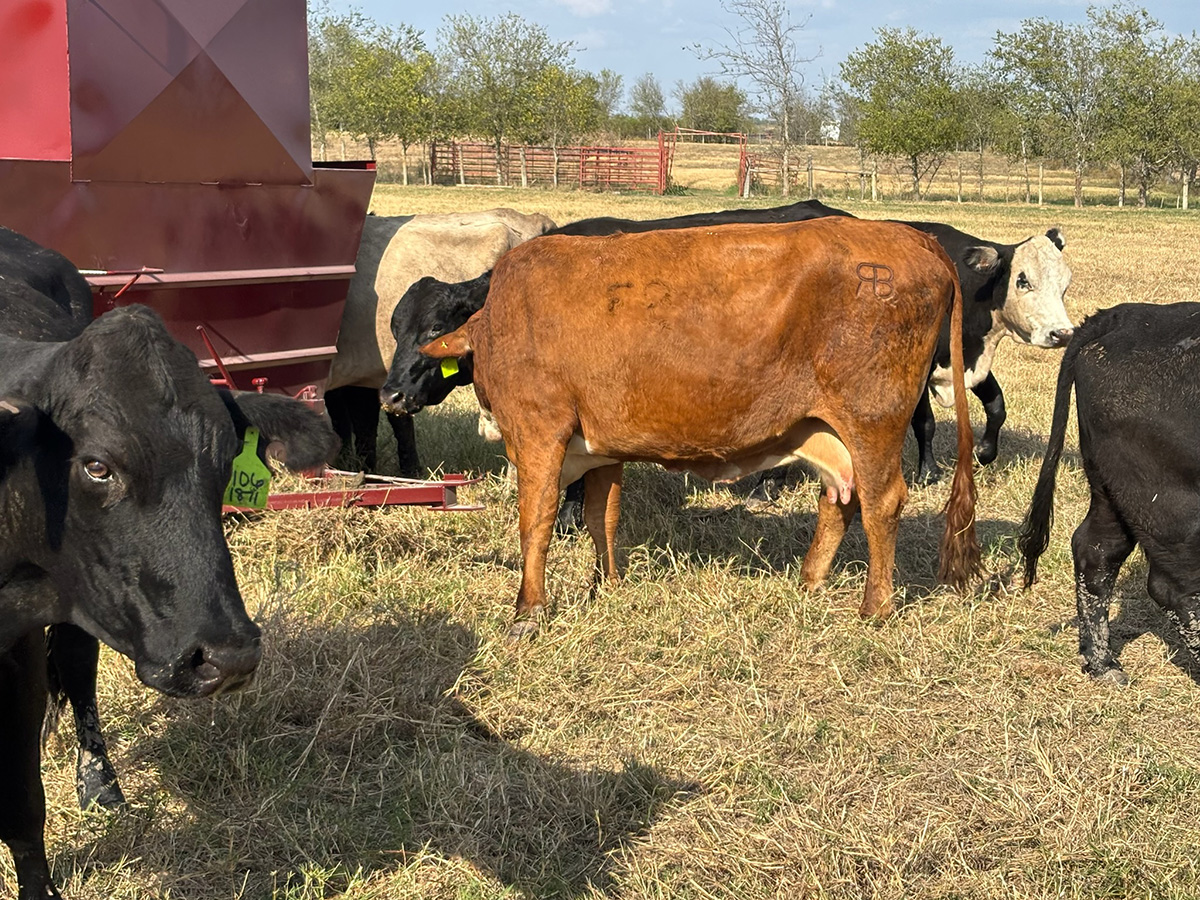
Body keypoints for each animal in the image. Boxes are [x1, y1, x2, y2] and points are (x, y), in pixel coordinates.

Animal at [0, 229, 339, 899]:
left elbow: (23, 803)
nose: (227, 656)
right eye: (96, 465)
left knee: (76, 668)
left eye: (227, 460)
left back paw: (100, 784)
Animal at [419, 217, 982, 638]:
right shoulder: (602, 448)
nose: (397, 398)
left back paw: (874, 606)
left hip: (872, 419)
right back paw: (808, 580)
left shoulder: (538, 433)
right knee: (840, 498)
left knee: (882, 501)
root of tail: (915, 237)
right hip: (825, 430)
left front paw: (528, 610)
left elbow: (535, 523)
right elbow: (603, 517)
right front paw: (606, 585)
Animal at [1019, 302, 1200, 685]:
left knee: (1097, 549)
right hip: (1169, 502)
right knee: (1175, 585)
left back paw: (1102, 663)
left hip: (1111, 488)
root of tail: (1129, 314)